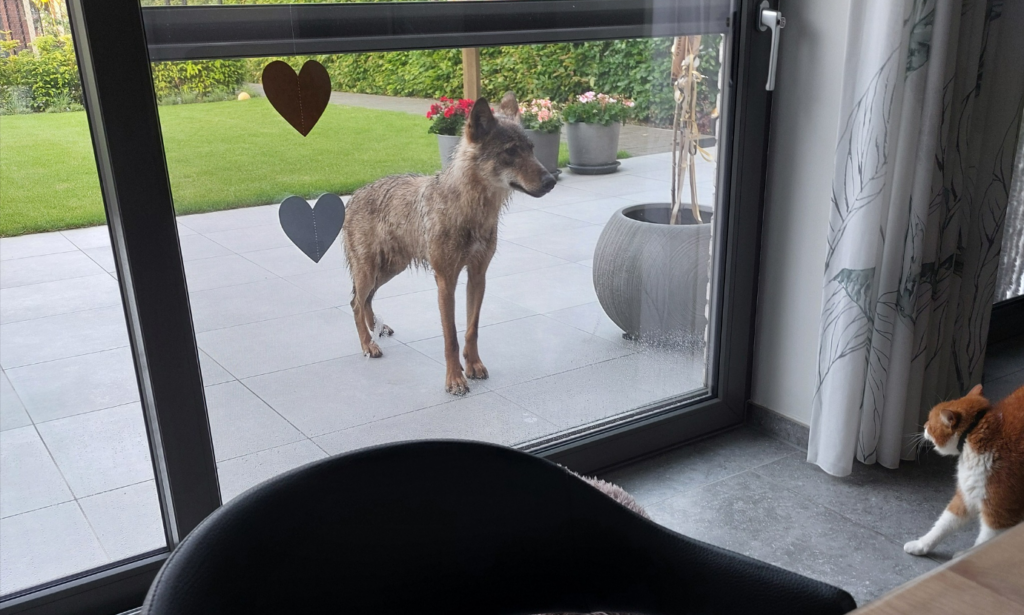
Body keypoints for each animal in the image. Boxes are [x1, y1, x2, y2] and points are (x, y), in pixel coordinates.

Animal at [342, 93, 552, 394]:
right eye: (511, 151)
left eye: (531, 149)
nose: (551, 181)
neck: (470, 211)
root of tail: (353, 196)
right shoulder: (445, 281)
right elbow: (450, 336)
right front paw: (455, 380)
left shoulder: (477, 276)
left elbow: (472, 329)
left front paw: (473, 366)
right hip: (370, 272)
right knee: (355, 303)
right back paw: (368, 345)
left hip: (390, 269)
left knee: (365, 300)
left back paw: (377, 329)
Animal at [905, 380, 1024, 552]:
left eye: (930, 421)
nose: (924, 425)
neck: (971, 432)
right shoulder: (966, 494)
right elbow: (944, 523)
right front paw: (921, 545)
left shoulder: (1000, 513)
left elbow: (983, 543)